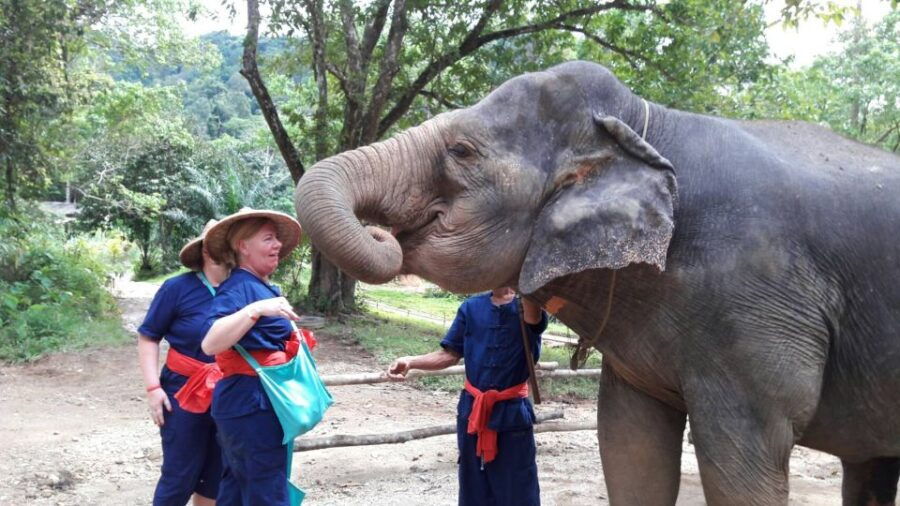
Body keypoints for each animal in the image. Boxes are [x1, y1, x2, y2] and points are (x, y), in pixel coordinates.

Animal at [294, 61, 900, 505]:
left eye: (461, 151)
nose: (381, 230)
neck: (645, 125)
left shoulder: (759, 306)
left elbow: (742, 462)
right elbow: (630, 445)